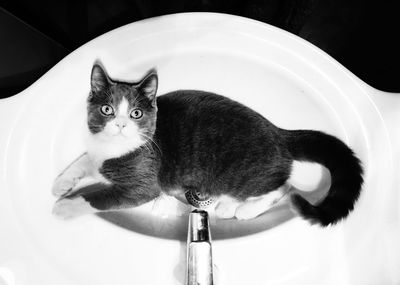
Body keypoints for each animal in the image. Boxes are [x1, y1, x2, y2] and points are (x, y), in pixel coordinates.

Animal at [51, 61, 364, 225]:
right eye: (107, 110)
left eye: (136, 113)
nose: (120, 124)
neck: (111, 149)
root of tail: (279, 133)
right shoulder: (96, 153)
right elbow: (83, 160)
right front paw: (61, 183)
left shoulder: (145, 182)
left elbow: (101, 197)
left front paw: (65, 206)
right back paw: (227, 206)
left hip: (240, 176)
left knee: (284, 187)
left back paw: (244, 209)